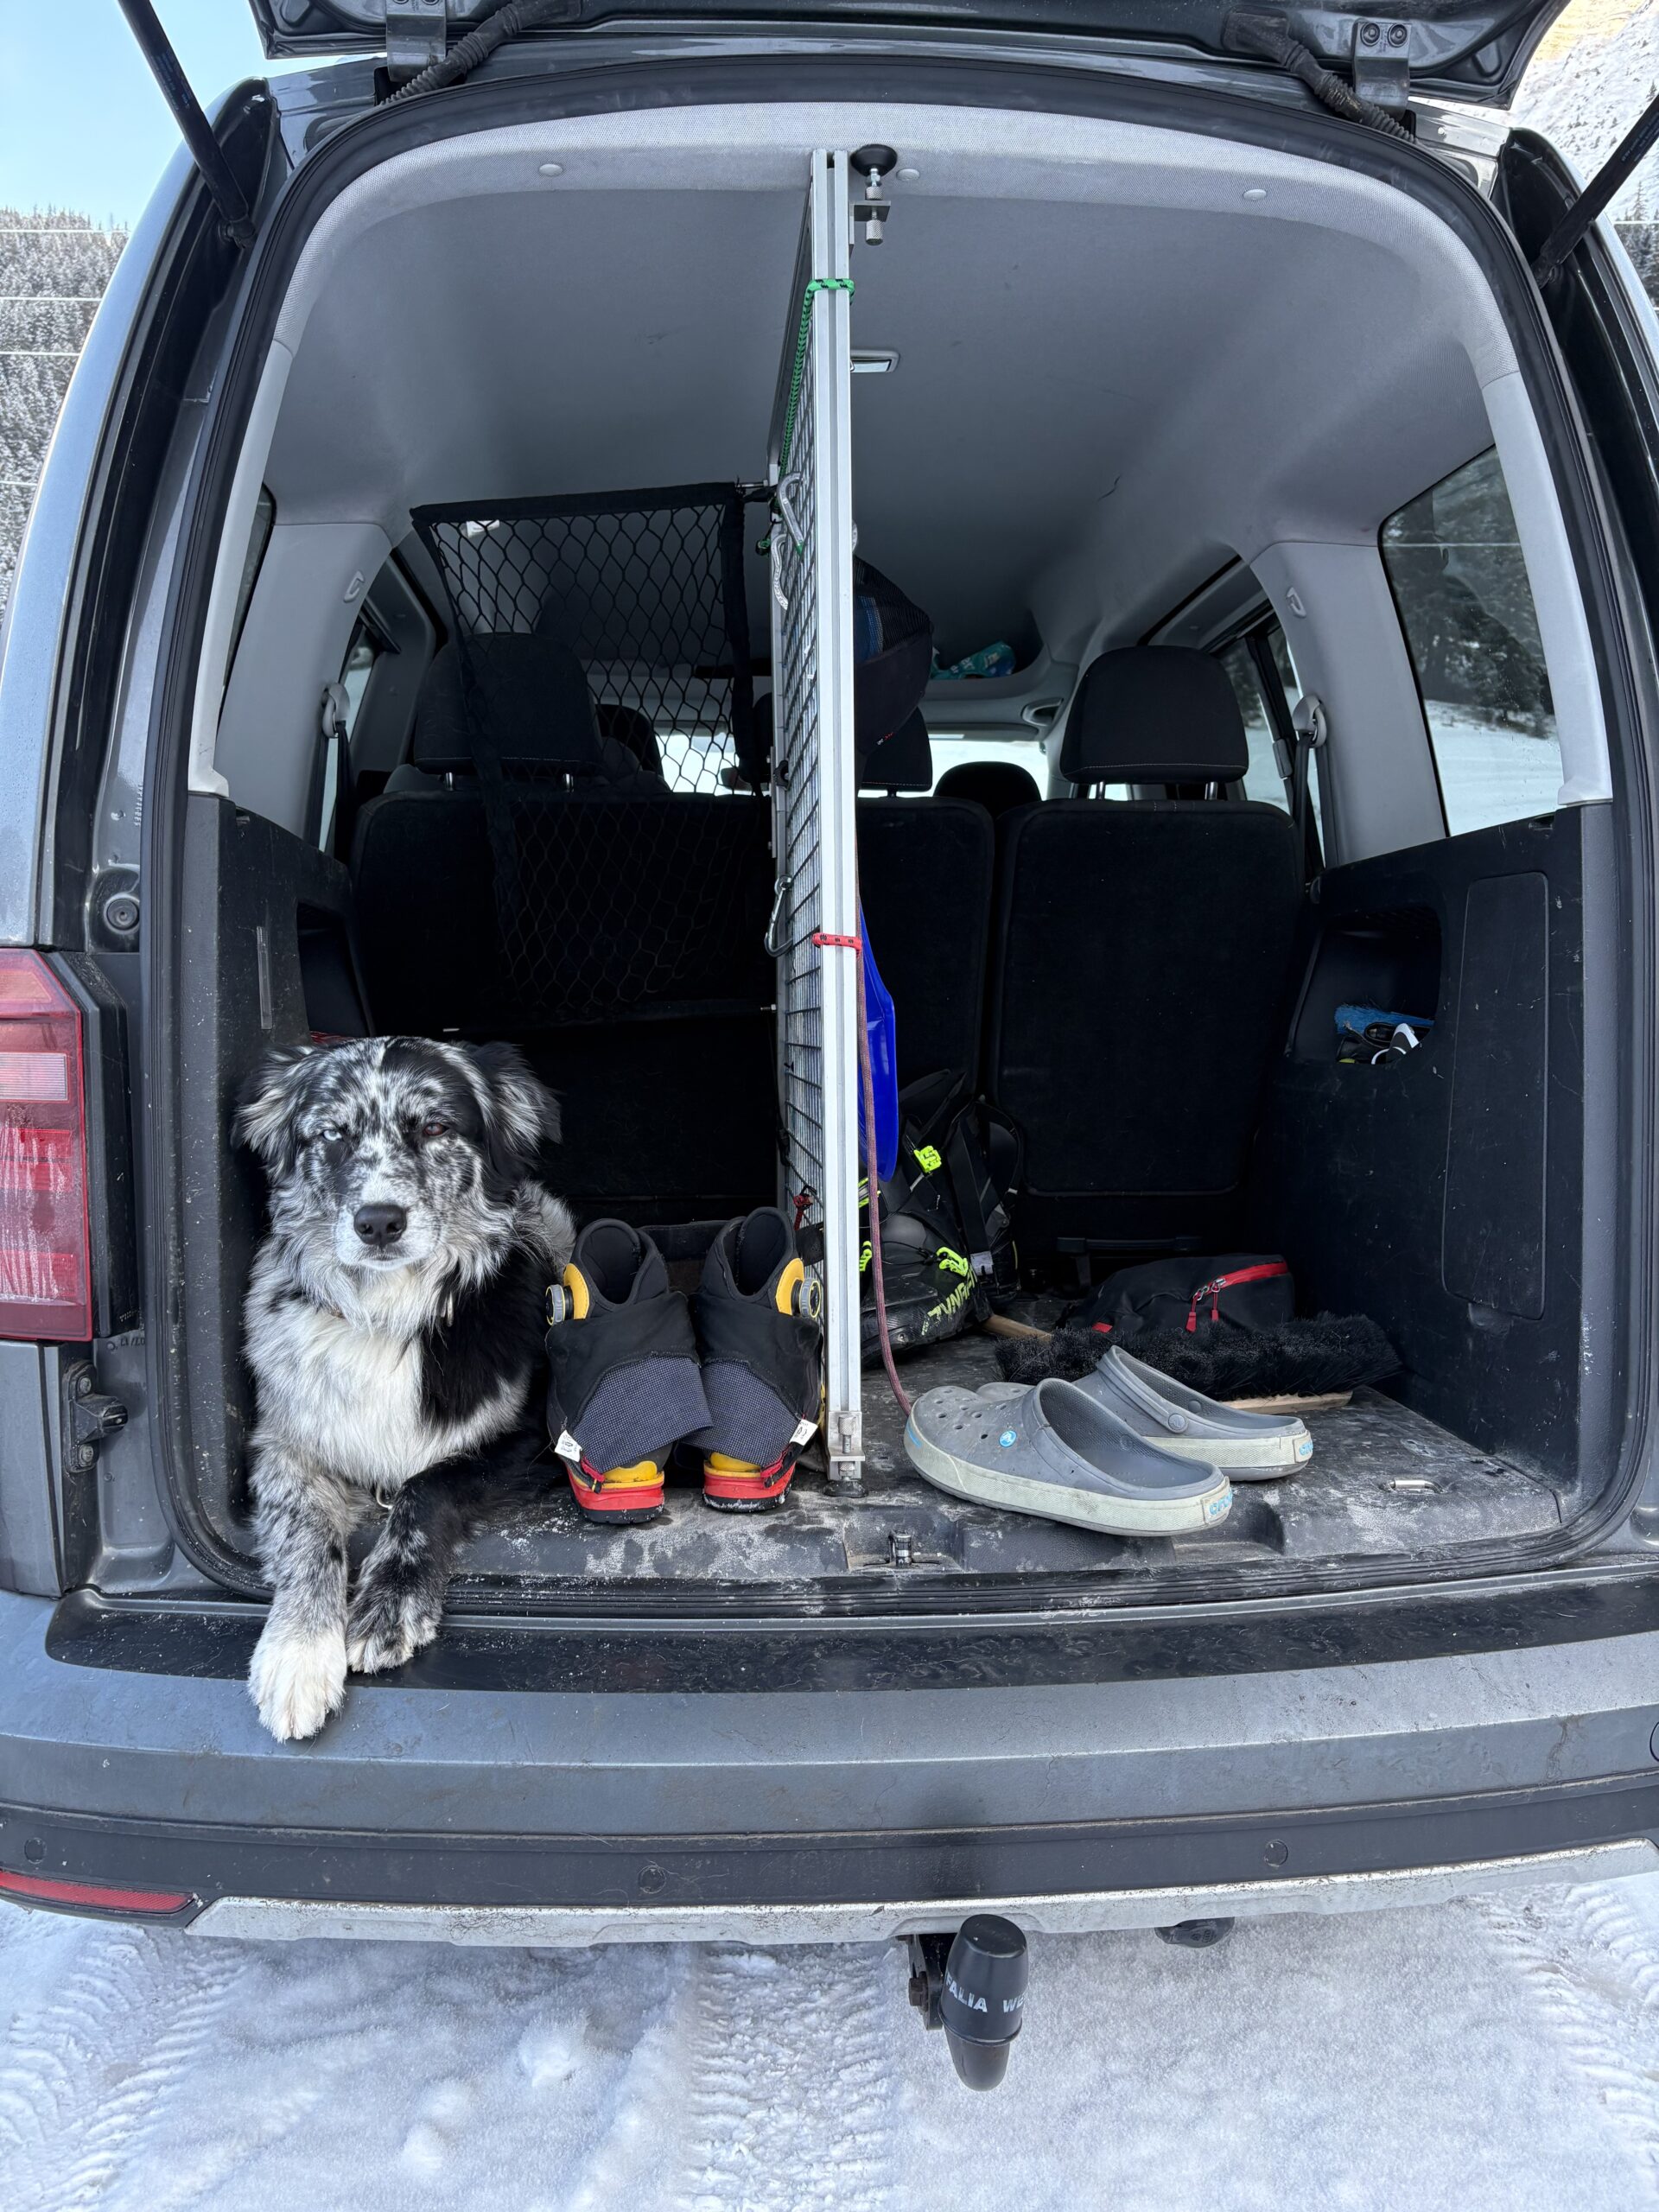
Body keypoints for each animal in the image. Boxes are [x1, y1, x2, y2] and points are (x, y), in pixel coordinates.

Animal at [236, 1035, 572, 1742]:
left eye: (436, 1128)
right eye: (332, 1134)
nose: (379, 1222)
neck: (385, 1311)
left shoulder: (529, 1438)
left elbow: (428, 1483)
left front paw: (391, 1605)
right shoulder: (283, 1443)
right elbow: (305, 1532)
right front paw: (297, 1651)